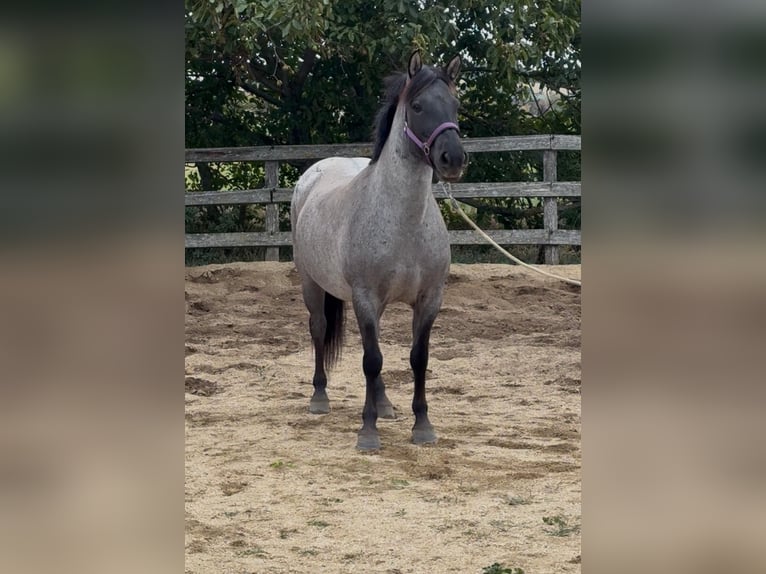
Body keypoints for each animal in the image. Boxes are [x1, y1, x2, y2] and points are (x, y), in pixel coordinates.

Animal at [291, 51, 467, 450]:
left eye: (455, 104)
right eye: (417, 106)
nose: (453, 159)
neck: (405, 223)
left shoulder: (429, 299)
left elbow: (418, 358)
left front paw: (422, 426)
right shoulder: (365, 298)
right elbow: (372, 360)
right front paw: (368, 431)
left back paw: (385, 403)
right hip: (311, 283)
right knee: (319, 328)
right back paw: (319, 397)